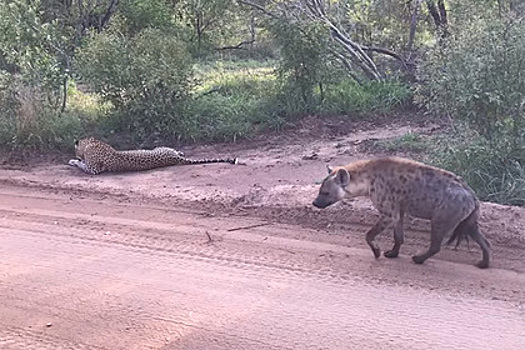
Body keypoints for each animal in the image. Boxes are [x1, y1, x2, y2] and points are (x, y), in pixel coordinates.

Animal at [314, 157, 490, 270]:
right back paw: (483, 263)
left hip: (442, 217)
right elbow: (398, 235)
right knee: (483, 240)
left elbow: (369, 234)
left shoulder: (389, 212)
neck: (368, 180)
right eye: (320, 191)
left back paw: (418, 259)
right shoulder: (398, 209)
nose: (314, 203)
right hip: (469, 220)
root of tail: (473, 196)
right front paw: (392, 253)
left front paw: (377, 251)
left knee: (436, 244)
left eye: (326, 193)